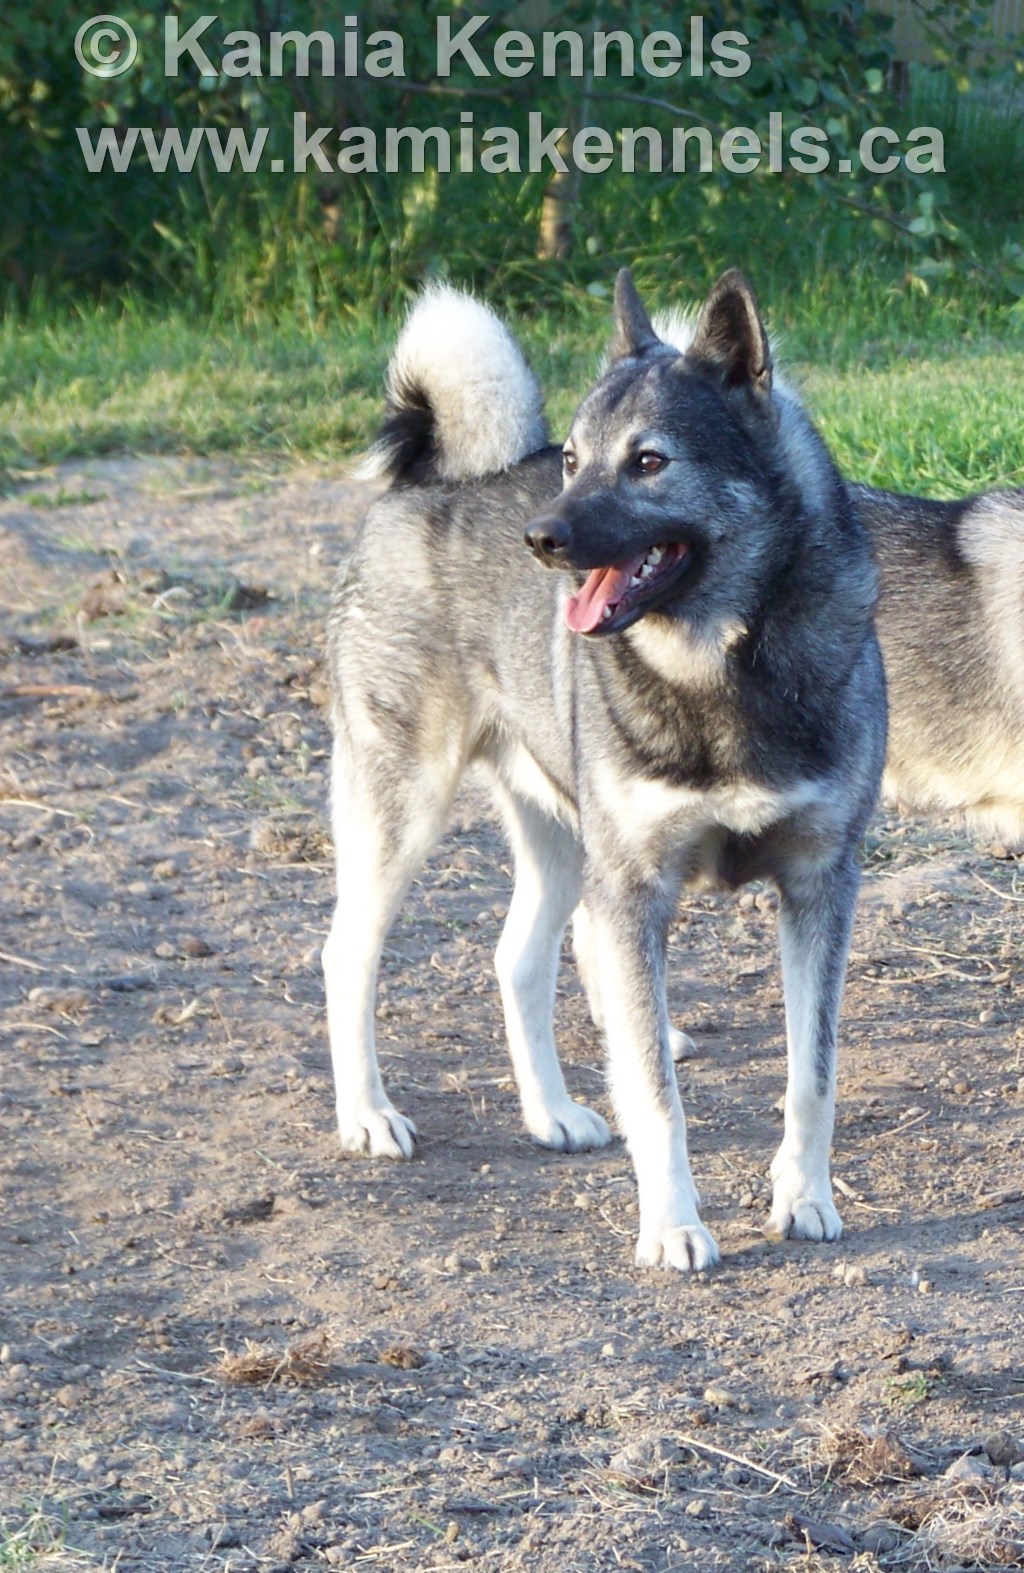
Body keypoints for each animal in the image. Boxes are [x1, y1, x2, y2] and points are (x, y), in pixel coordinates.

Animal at [322, 270, 887, 1270]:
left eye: (649, 461)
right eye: (575, 459)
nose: (541, 538)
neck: (720, 670)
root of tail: (429, 481)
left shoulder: (822, 887)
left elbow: (811, 1073)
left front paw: (805, 1195)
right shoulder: (631, 891)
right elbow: (656, 1095)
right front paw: (673, 1226)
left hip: (558, 839)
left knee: (516, 957)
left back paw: (550, 1112)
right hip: (402, 816)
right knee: (347, 953)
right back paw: (369, 1114)